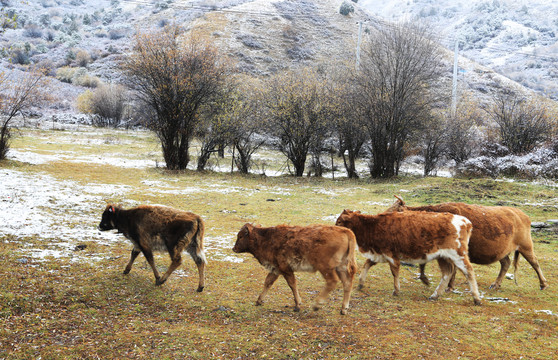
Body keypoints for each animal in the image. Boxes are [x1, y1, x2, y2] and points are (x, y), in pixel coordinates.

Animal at [334, 210, 484, 306]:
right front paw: (360, 283)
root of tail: (465, 221)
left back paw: (476, 298)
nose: (334, 230)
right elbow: (367, 264)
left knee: (469, 271)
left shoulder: (391, 255)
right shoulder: (378, 253)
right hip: (443, 256)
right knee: (447, 273)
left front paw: (396, 290)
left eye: (340, 221)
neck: (373, 226)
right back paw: (435, 295)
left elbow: (394, 272)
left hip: (458, 254)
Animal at [388, 195, 548, 292]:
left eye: (395, 211)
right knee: (506, 263)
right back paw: (496, 284)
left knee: (535, 262)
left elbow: (452, 269)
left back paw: (543, 284)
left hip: (526, 245)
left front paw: (449, 287)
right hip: (503, 251)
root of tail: (521, 214)